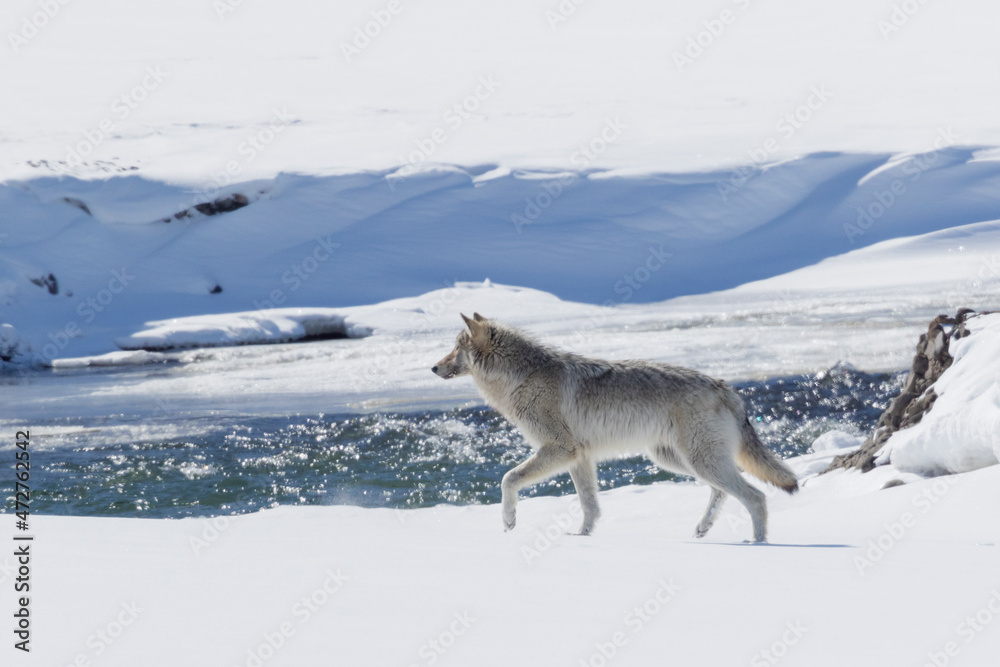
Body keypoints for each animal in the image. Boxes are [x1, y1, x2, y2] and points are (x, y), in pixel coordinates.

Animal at [432, 313, 798, 542]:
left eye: (456, 349)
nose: (433, 368)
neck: (522, 377)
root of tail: (728, 388)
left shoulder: (560, 449)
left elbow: (508, 479)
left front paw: (509, 521)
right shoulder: (579, 457)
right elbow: (590, 506)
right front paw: (582, 537)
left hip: (698, 461)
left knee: (755, 497)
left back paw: (758, 545)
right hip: (677, 460)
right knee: (722, 492)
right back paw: (702, 530)